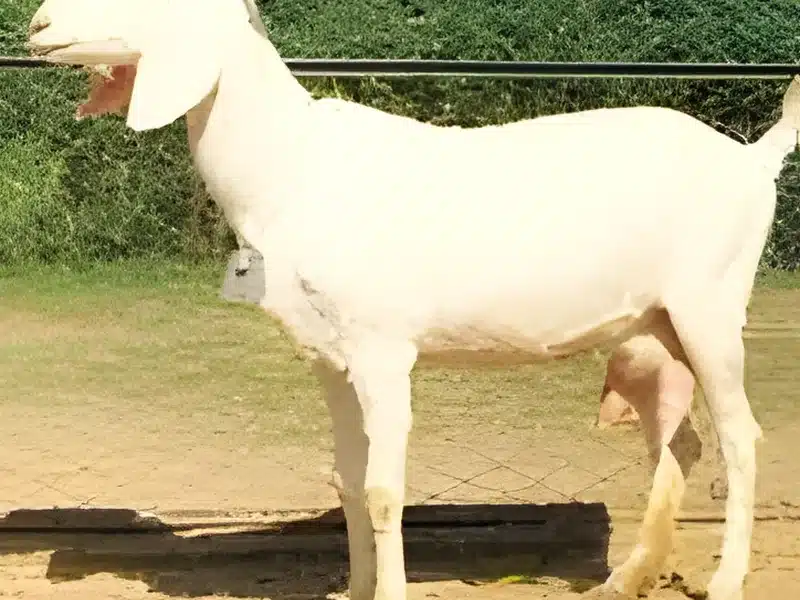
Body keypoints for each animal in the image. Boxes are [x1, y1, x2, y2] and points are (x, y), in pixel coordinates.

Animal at [27, 2, 800, 599]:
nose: (37, 25)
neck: (293, 165)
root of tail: (753, 159)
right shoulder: (329, 356)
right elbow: (346, 481)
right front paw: (356, 588)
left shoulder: (381, 350)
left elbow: (383, 488)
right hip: (656, 326)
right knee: (680, 438)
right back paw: (628, 577)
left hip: (709, 307)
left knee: (740, 438)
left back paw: (725, 581)